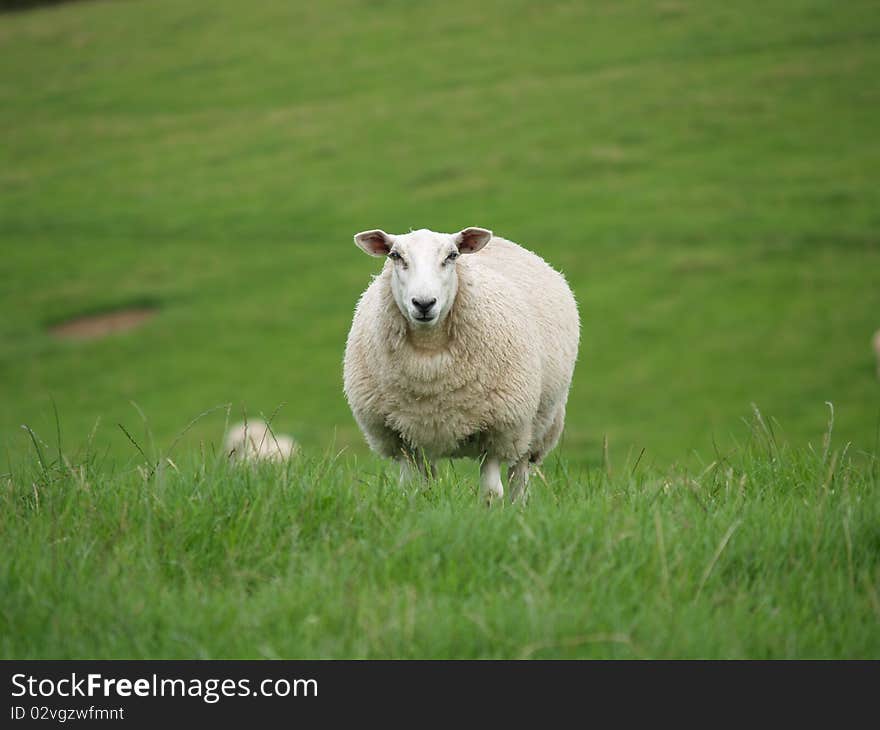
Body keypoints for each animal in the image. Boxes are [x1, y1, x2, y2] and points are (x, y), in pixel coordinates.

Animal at [342, 228, 576, 500]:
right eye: (395, 255)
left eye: (452, 256)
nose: (424, 303)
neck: (428, 352)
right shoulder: (398, 438)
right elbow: (410, 489)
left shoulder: (497, 431)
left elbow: (491, 493)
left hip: (533, 426)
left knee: (519, 474)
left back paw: (519, 504)